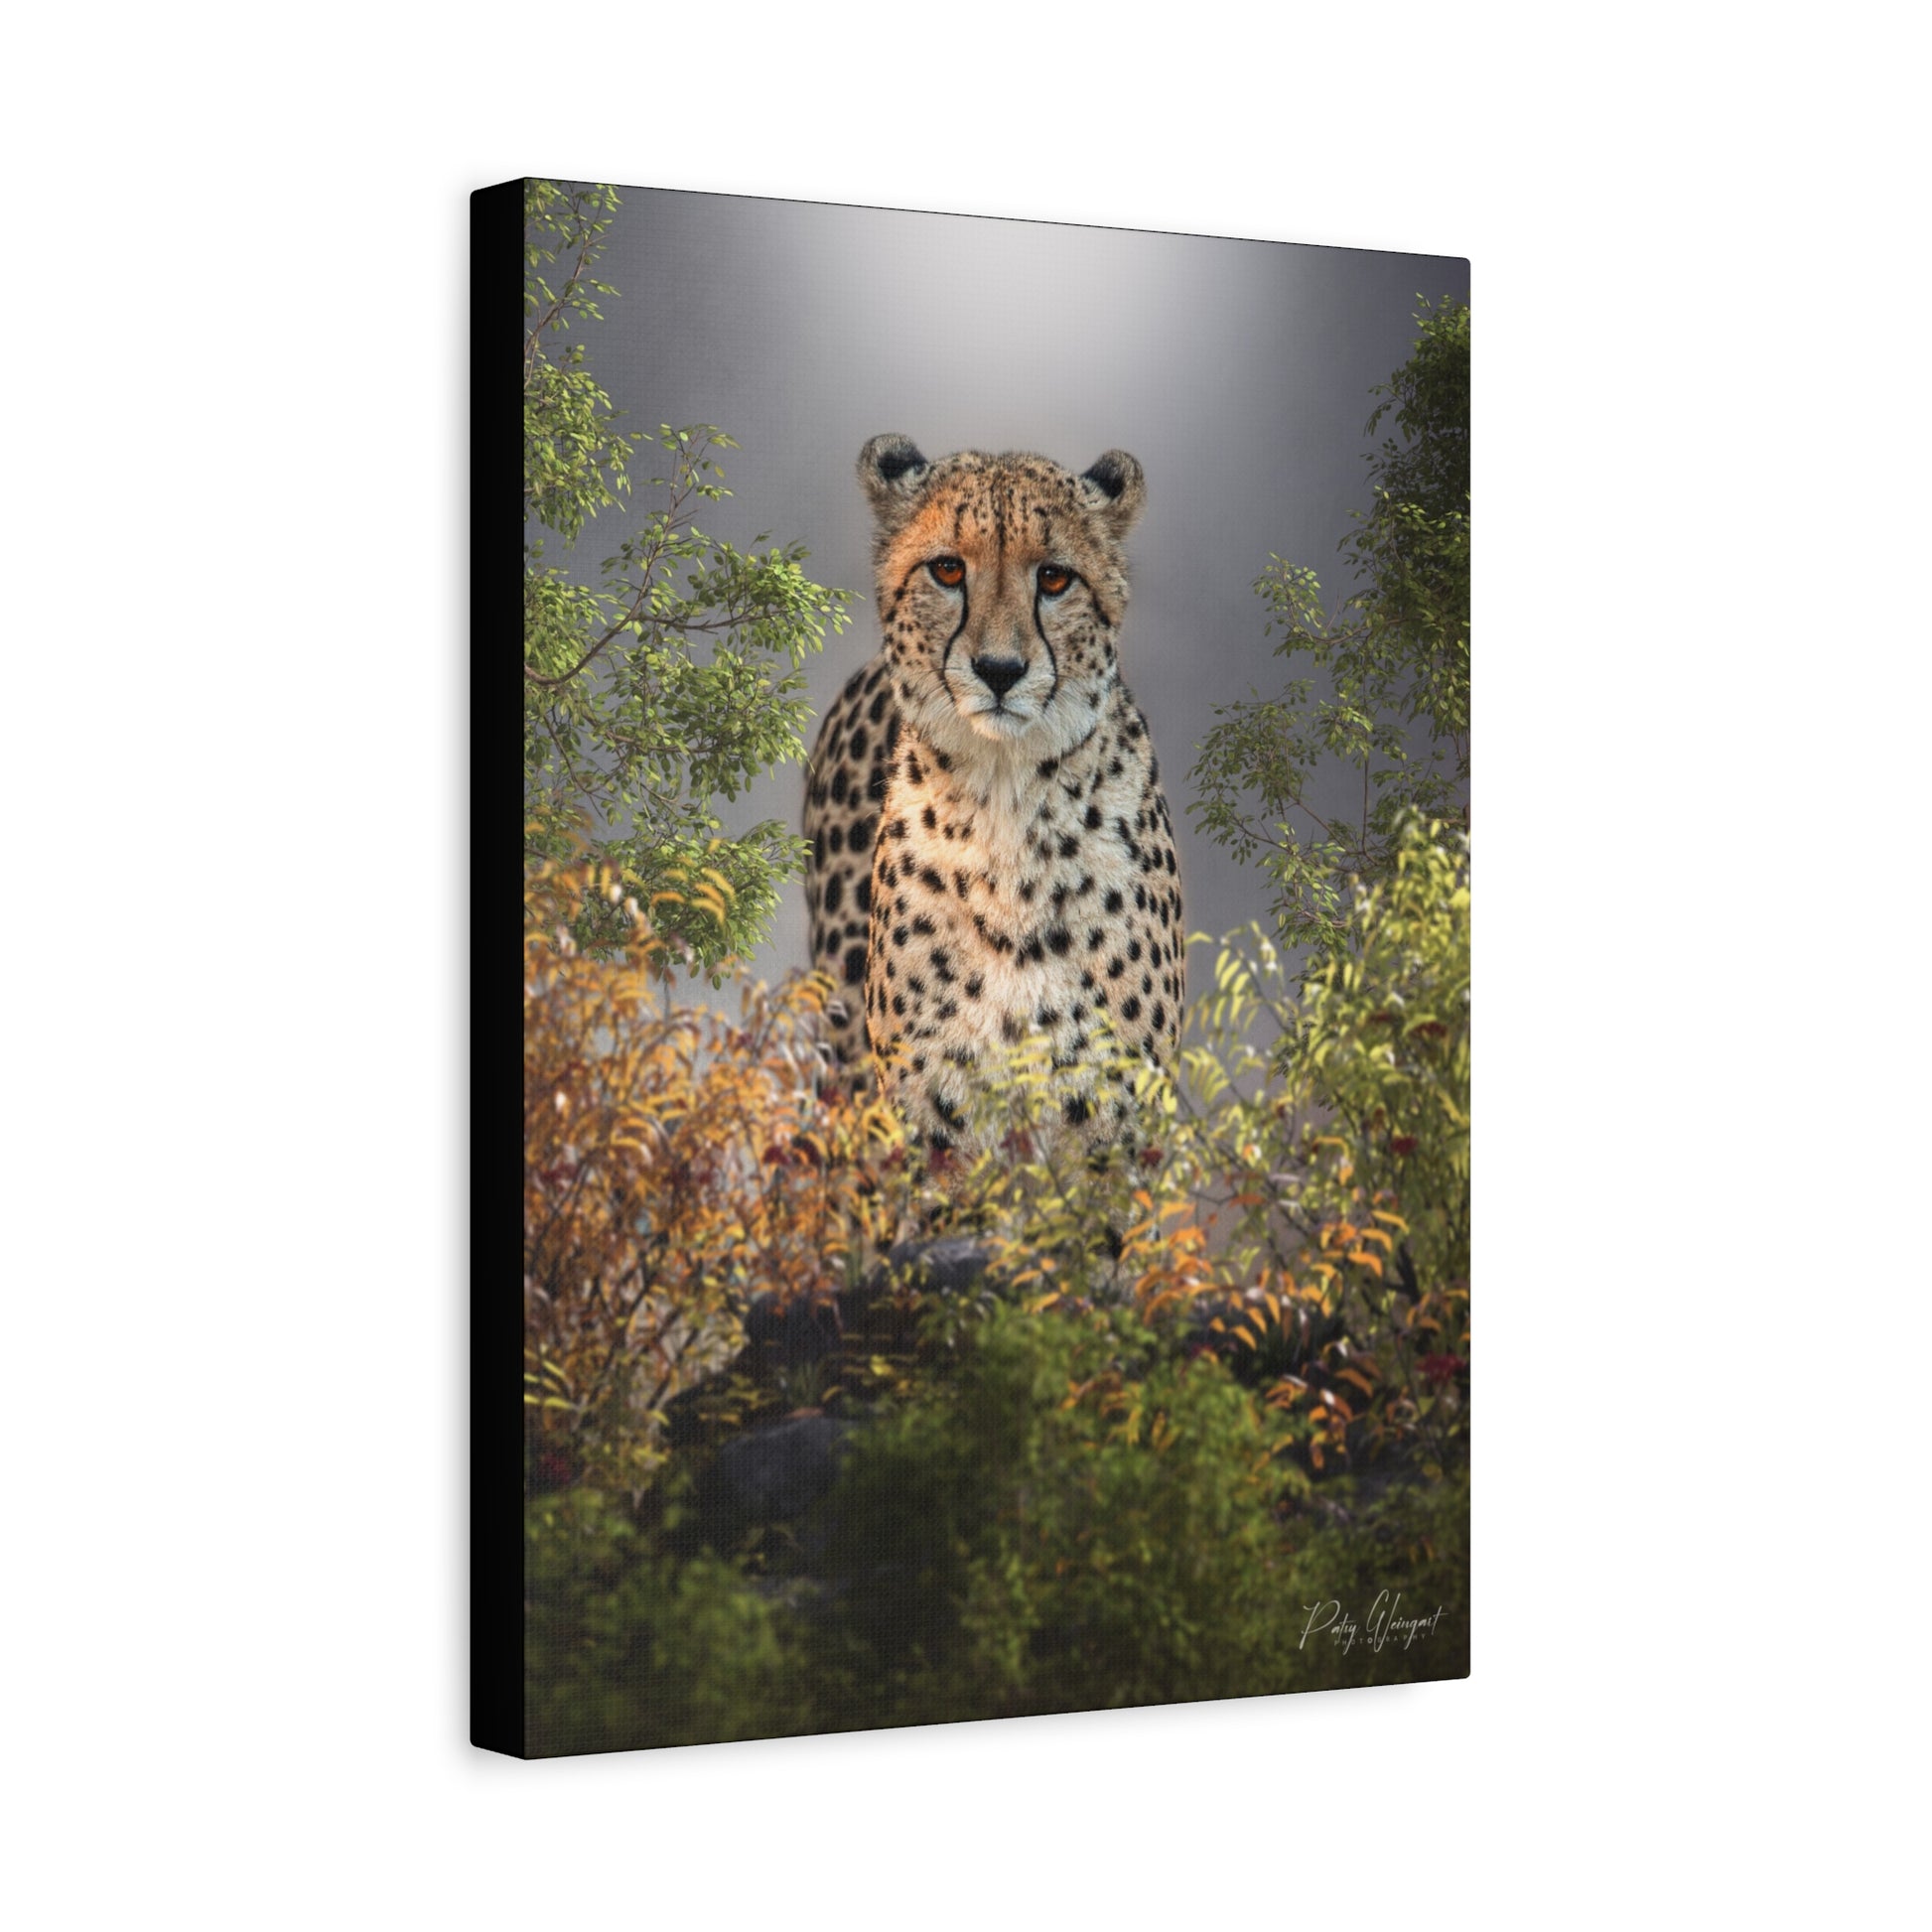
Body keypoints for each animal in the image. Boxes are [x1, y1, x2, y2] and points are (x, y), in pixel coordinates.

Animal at [803, 434, 1184, 1153]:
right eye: (948, 570)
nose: (1000, 671)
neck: (1008, 807)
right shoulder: (929, 1116)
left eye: (1055, 578)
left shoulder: (1115, 1118)